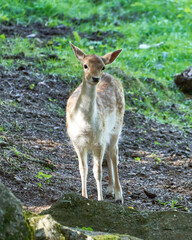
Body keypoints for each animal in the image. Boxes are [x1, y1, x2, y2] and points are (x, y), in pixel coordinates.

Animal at [67, 42, 125, 202]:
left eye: (102, 66)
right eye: (85, 65)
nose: (95, 78)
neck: (85, 126)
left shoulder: (98, 142)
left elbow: (97, 171)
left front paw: (100, 200)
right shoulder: (77, 142)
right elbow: (83, 169)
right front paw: (84, 196)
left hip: (116, 128)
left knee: (114, 153)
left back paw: (118, 195)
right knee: (109, 154)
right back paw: (110, 189)